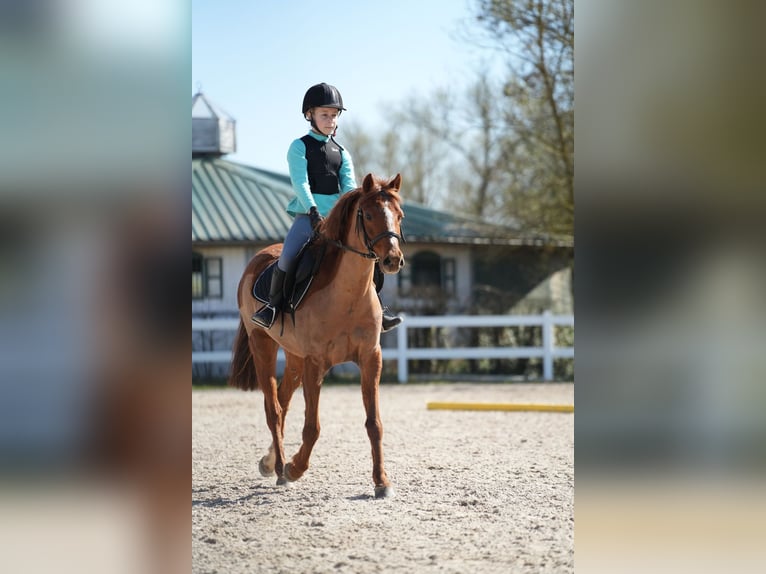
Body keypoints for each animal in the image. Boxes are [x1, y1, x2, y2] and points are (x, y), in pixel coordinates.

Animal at [228, 173, 405, 498]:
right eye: (368, 215)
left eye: (399, 215)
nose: (392, 260)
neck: (348, 295)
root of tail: (257, 258)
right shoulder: (315, 363)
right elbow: (312, 427)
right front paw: (295, 468)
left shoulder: (370, 358)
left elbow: (374, 423)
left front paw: (381, 481)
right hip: (263, 345)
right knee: (273, 408)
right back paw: (281, 469)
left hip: (294, 356)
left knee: (283, 402)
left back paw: (270, 462)